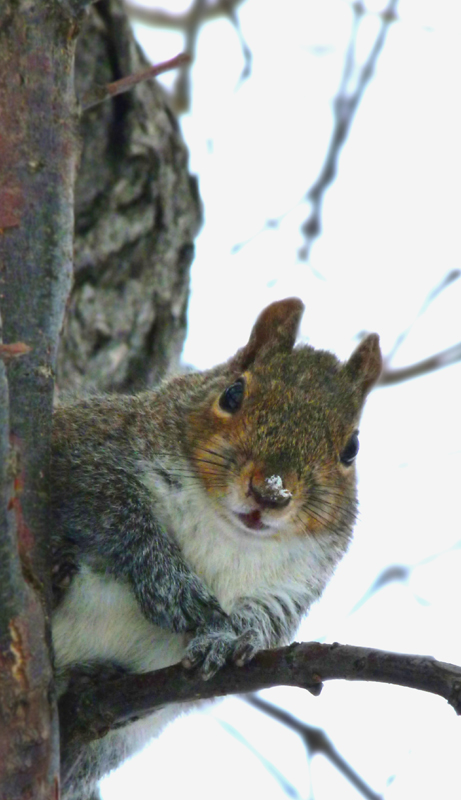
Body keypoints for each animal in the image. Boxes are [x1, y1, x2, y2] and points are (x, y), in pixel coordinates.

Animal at [50, 297, 382, 799]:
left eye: (352, 448)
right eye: (232, 394)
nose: (270, 492)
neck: (225, 532)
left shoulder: (292, 586)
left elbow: (266, 621)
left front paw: (230, 637)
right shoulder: (88, 445)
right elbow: (116, 512)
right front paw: (175, 589)